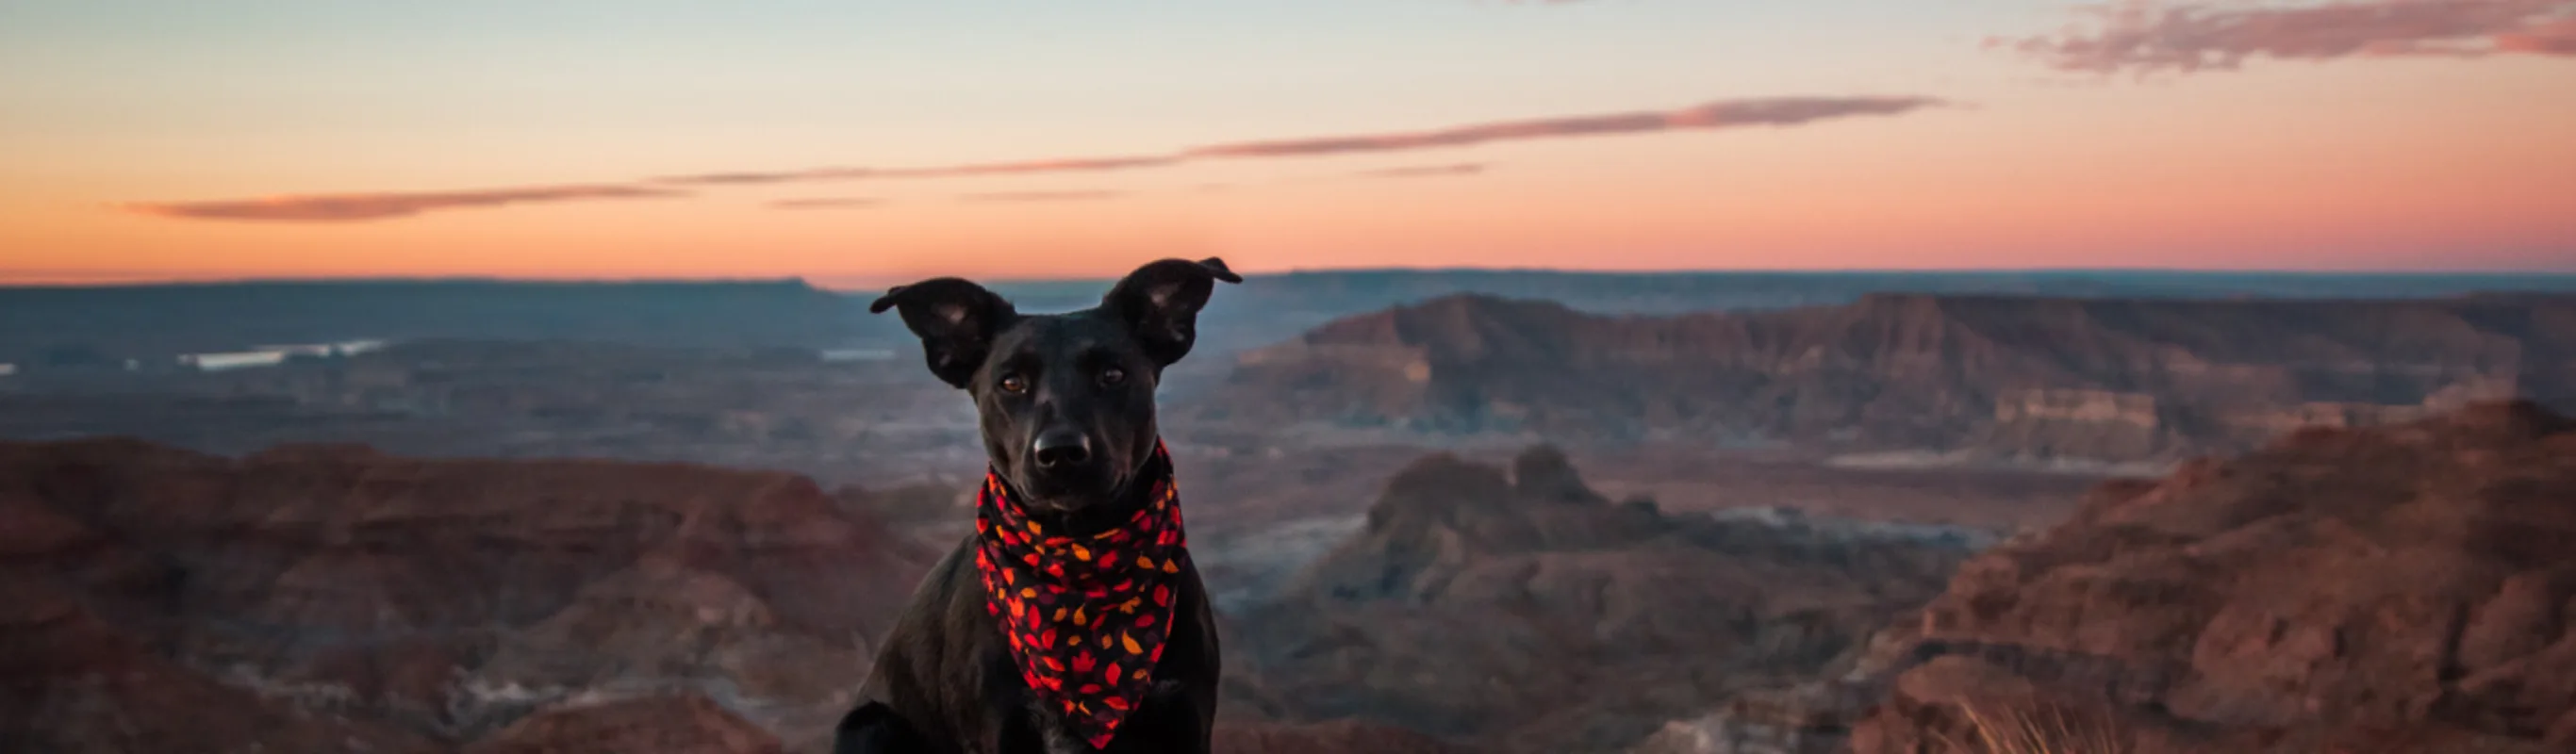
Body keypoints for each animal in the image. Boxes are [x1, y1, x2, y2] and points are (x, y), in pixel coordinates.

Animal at [834, 257, 1236, 751]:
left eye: (1113, 375)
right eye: (1011, 383)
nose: (1060, 452)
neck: (1080, 556)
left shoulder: (1187, 719)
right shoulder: (997, 728)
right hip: (872, 726)